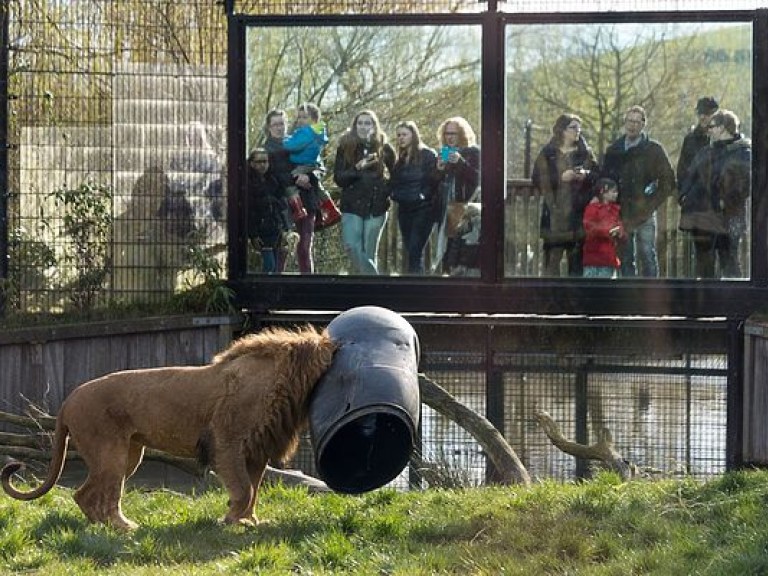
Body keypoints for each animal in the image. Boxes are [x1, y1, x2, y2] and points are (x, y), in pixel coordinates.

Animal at [0, 324, 336, 532]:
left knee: (89, 494)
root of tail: (67, 401)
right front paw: (230, 520)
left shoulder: (256, 451)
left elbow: (252, 491)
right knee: (94, 494)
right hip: (111, 452)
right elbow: (243, 489)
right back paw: (121, 528)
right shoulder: (227, 442)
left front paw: (249, 522)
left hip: (129, 454)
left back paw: (107, 527)